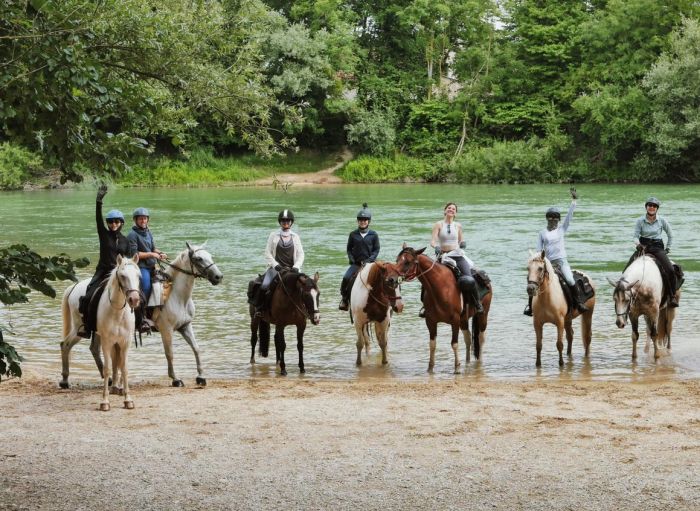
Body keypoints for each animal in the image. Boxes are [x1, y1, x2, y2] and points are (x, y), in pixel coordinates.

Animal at [62, 243, 223, 388]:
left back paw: (108, 379)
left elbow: (196, 348)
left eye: (209, 256)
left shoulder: (185, 326)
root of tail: (73, 288)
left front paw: (201, 377)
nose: (218, 277)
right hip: (81, 328)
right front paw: (176, 379)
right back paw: (64, 380)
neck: (176, 295)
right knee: (65, 344)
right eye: (198, 258)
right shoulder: (166, 330)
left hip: (98, 330)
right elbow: (169, 353)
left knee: (94, 349)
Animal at [394, 244, 492, 372]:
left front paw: (457, 368)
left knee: (480, 338)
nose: (392, 278)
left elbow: (454, 344)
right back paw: (467, 362)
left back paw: (479, 362)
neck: (441, 287)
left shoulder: (455, 320)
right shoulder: (430, 321)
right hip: (463, 319)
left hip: (483, 314)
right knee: (468, 338)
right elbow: (432, 344)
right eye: (397, 260)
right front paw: (430, 368)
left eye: (408, 262)